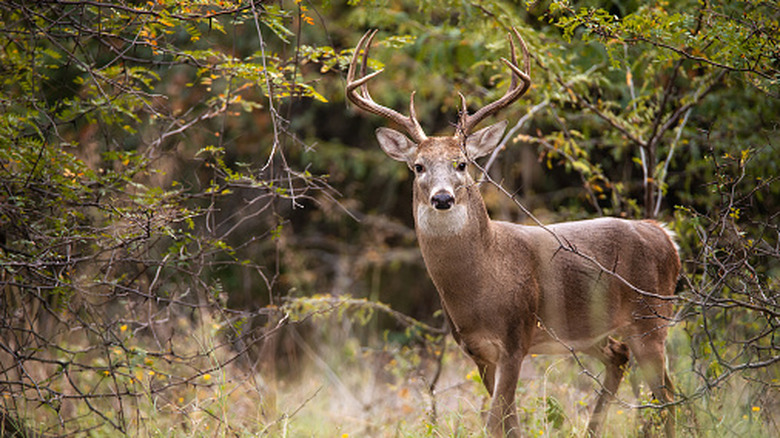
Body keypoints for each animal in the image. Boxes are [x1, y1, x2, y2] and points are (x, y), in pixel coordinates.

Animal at [346, 28, 680, 437]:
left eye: (462, 163)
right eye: (419, 166)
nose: (442, 198)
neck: (483, 277)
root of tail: (665, 235)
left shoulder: (516, 337)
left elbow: (495, 422)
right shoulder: (477, 350)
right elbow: (509, 422)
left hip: (652, 317)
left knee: (666, 396)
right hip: (592, 331)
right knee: (624, 359)